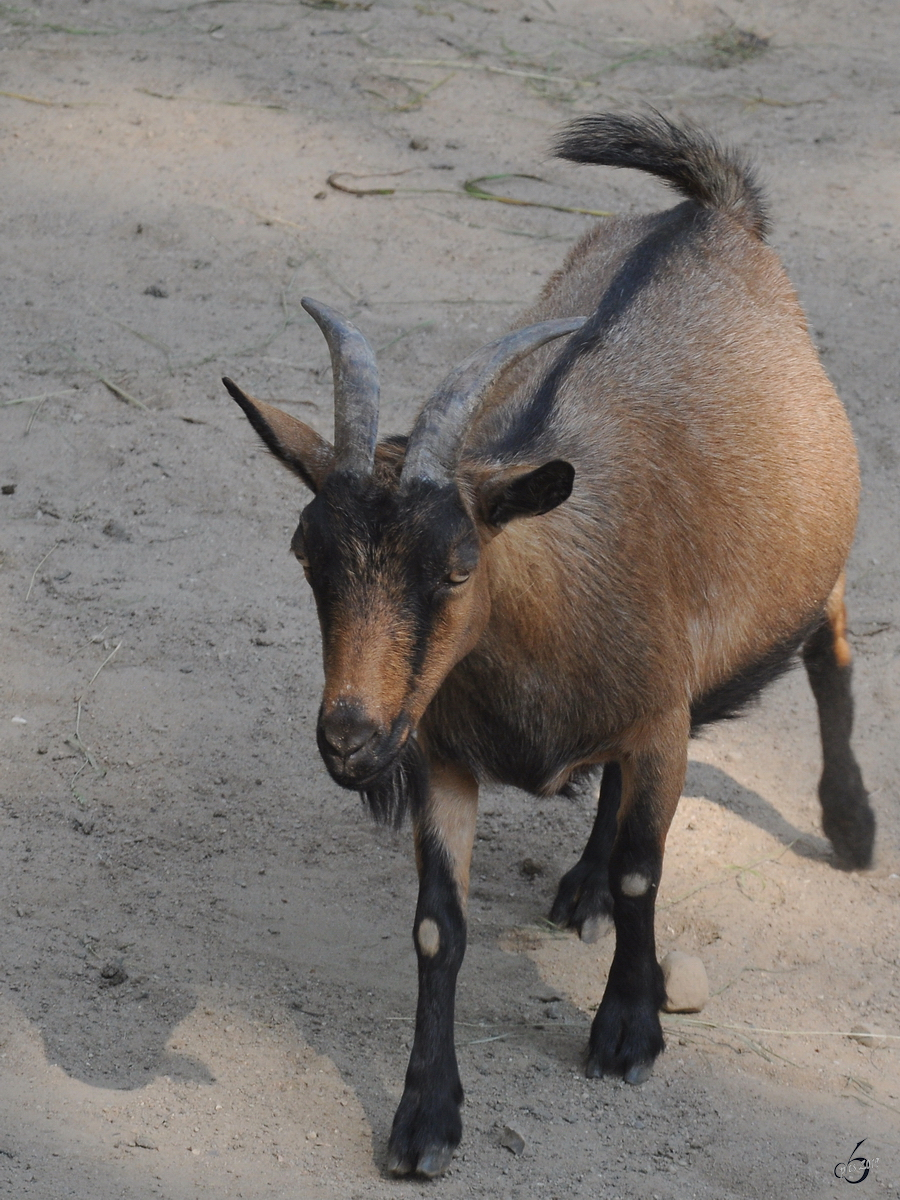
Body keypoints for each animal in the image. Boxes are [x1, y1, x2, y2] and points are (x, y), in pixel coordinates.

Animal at [224, 114, 873, 1180]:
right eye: (304, 553)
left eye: (454, 570)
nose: (349, 741)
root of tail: (714, 212)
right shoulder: (445, 752)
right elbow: (439, 927)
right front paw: (425, 1119)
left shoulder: (661, 722)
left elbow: (649, 872)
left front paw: (628, 1032)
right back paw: (581, 886)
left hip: (811, 566)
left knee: (831, 647)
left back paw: (851, 824)